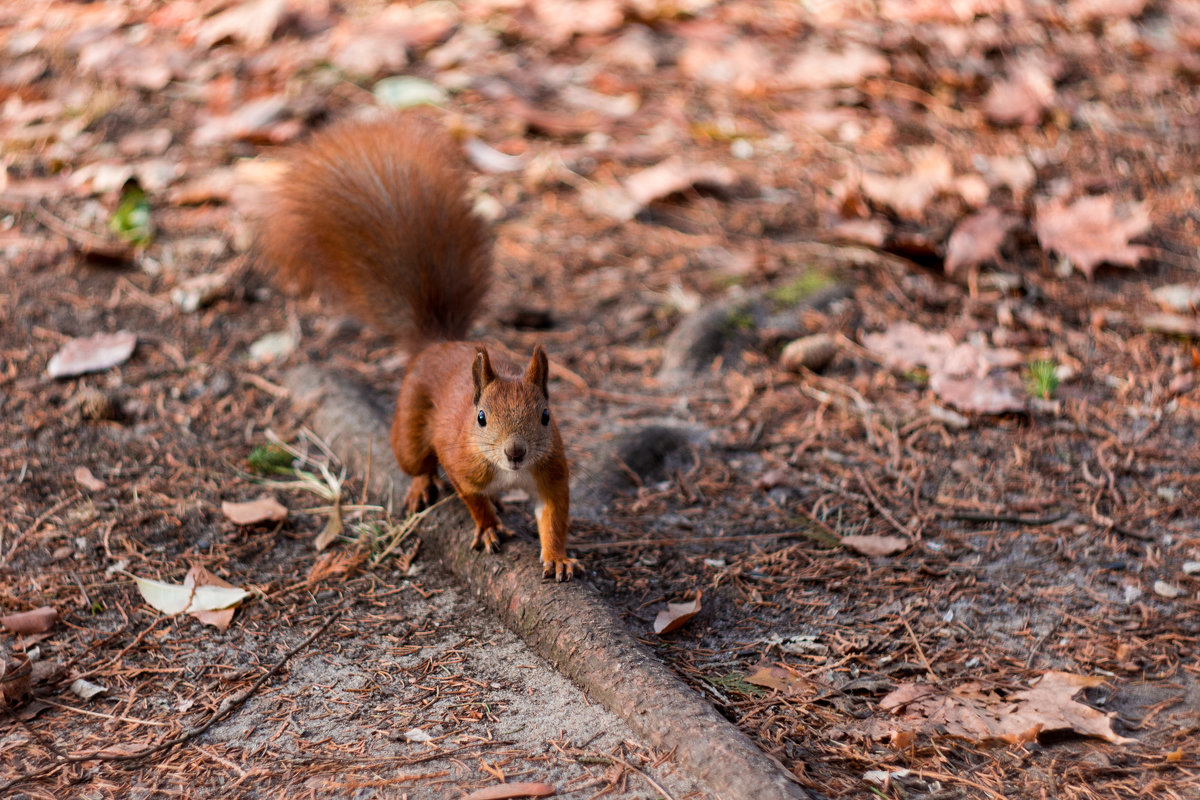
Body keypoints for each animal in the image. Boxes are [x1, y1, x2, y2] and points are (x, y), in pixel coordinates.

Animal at [256, 115, 580, 582]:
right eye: (481, 418)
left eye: (546, 416)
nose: (516, 452)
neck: (508, 473)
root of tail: (437, 344)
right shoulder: (461, 462)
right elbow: (471, 498)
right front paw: (488, 527)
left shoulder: (552, 473)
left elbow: (554, 517)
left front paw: (557, 557)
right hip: (410, 425)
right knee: (415, 462)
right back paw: (421, 486)